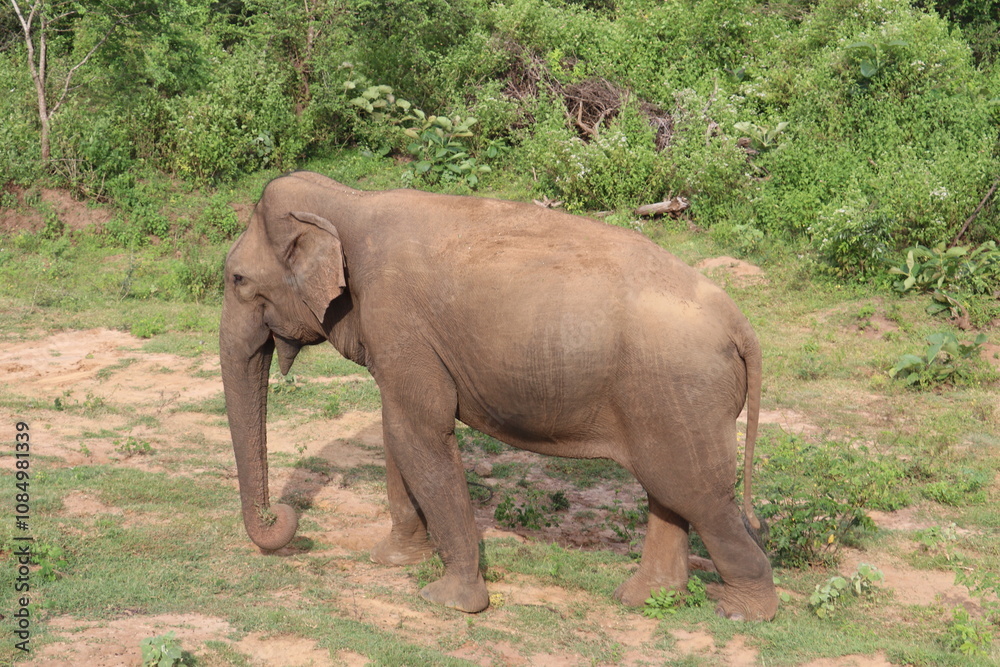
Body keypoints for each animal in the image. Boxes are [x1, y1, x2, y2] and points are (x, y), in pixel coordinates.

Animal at [220, 170, 778, 621]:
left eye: (237, 279)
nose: (280, 517)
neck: (348, 201)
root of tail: (741, 325)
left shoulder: (395, 317)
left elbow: (422, 433)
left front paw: (449, 602)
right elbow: (397, 431)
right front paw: (394, 560)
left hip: (683, 395)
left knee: (701, 497)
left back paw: (741, 611)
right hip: (668, 403)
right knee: (669, 491)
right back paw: (639, 600)